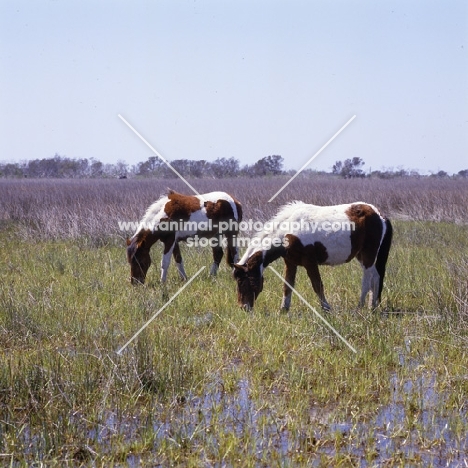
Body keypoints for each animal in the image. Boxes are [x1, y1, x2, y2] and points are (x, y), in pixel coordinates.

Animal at [233, 201, 392, 310]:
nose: (243, 307)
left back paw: (361, 306)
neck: (287, 231)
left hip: (368, 256)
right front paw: (283, 310)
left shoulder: (310, 262)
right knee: (376, 277)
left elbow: (317, 285)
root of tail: (380, 215)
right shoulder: (290, 262)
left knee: (368, 279)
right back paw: (372, 307)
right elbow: (287, 286)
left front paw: (326, 309)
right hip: (362, 256)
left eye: (241, 281)